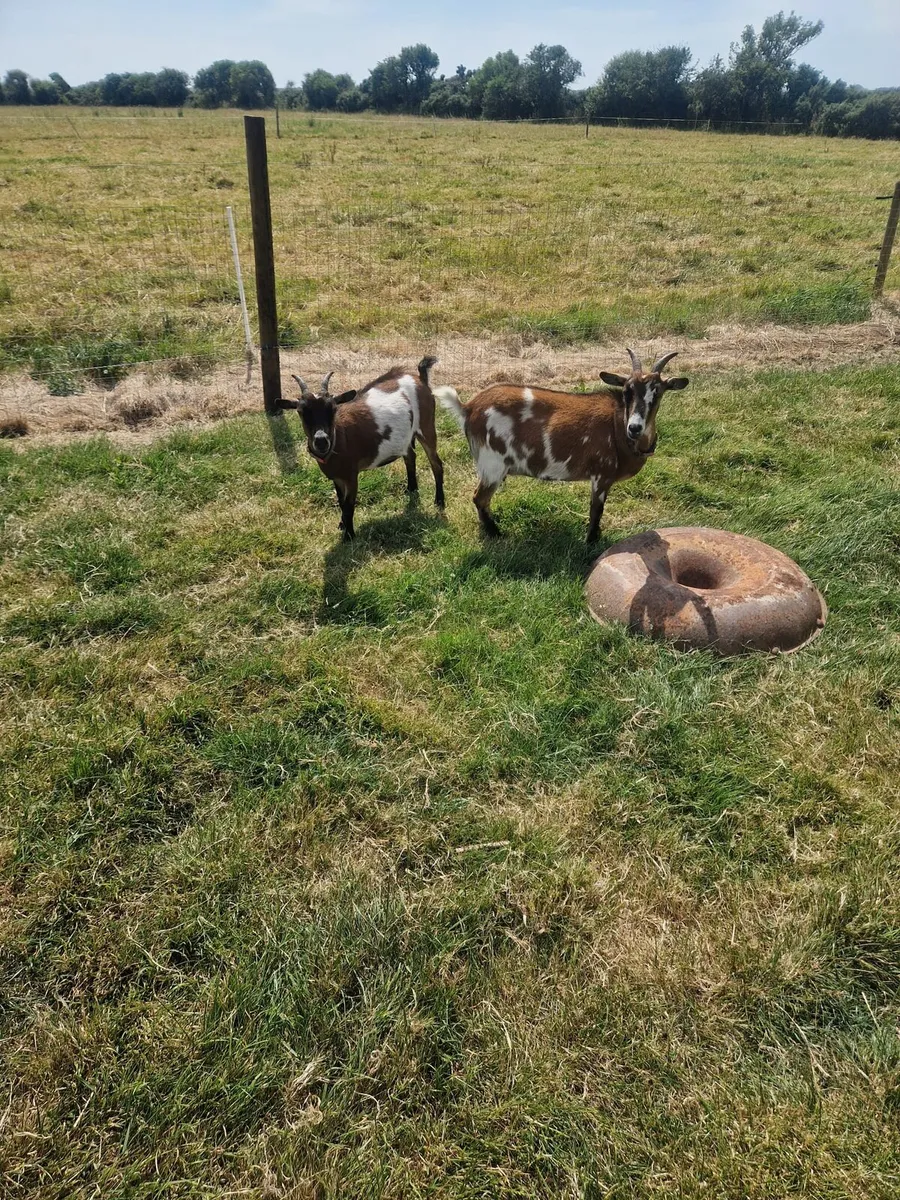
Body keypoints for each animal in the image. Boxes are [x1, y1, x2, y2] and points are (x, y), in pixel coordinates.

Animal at [278, 355, 453, 541]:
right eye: (301, 411)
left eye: (333, 408)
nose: (321, 441)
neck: (340, 437)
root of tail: (420, 378)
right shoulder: (337, 477)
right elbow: (341, 501)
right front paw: (342, 525)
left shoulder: (351, 476)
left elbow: (348, 505)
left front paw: (349, 536)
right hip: (406, 436)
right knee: (410, 456)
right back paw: (411, 489)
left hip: (426, 427)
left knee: (436, 463)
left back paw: (439, 501)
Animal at [438, 349, 689, 542]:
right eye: (627, 390)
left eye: (658, 393)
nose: (635, 427)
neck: (617, 424)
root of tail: (469, 407)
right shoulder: (601, 475)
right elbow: (596, 511)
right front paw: (590, 543)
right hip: (493, 464)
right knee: (479, 498)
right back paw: (497, 534)